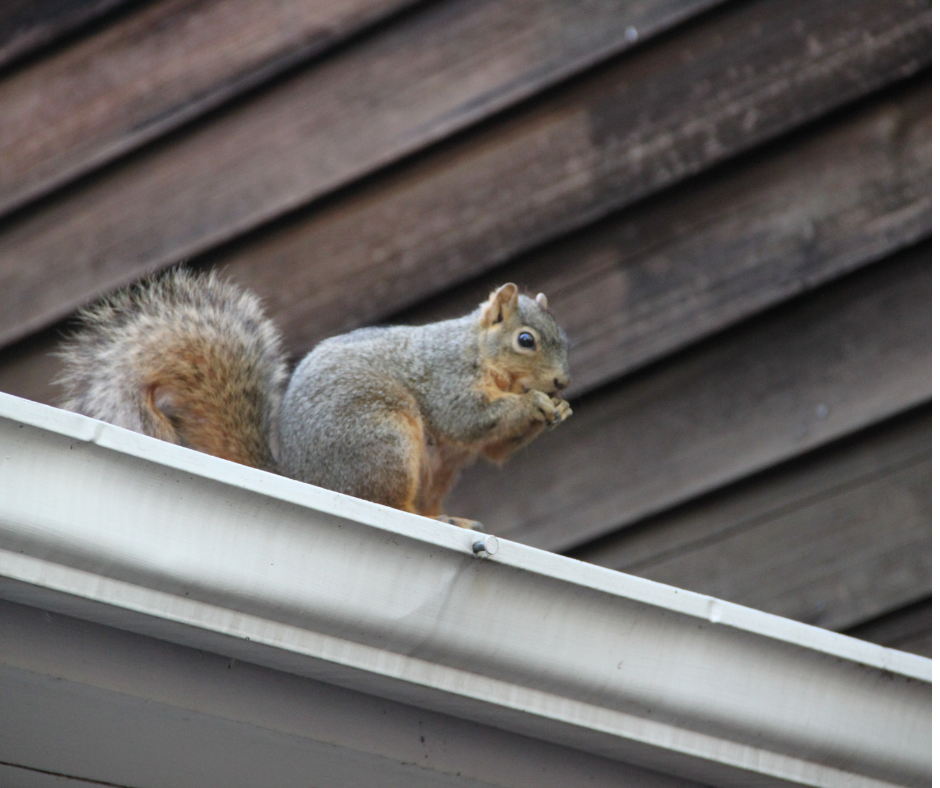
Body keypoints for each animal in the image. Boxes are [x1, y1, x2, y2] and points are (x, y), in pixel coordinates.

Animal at [60, 268, 572, 532]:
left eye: (564, 339)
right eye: (526, 340)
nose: (563, 382)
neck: (479, 352)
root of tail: (303, 477)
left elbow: (495, 449)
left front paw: (558, 411)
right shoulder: (445, 376)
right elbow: (469, 418)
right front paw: (535, 404)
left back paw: (450, 519)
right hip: (382, 439)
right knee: (387, 502)